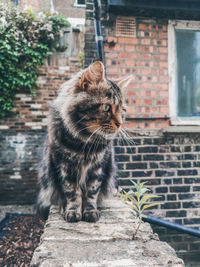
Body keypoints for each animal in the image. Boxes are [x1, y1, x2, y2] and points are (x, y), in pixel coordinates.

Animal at [37, 61, 132, 223]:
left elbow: (91, 193)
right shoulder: (64, 167)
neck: (84, 142)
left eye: (122, 110)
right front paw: (72, 212)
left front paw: (90, 212)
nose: (120, 124)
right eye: (106, 107)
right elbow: (72, 192)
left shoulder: (98, 167)